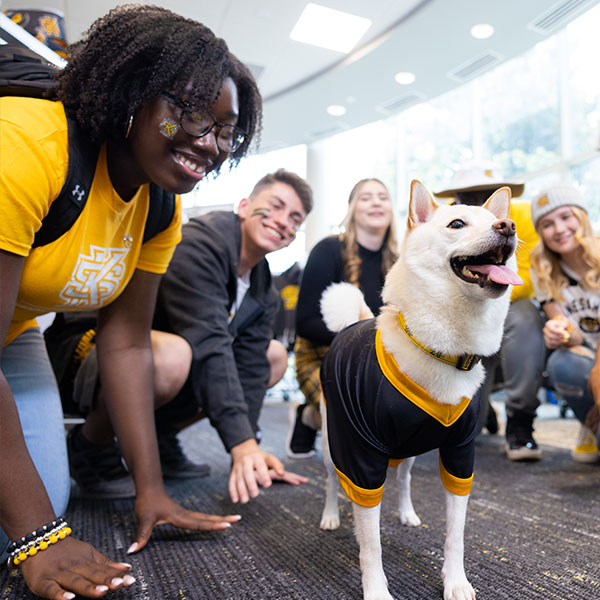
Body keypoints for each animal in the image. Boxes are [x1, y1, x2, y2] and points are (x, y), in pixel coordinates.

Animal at [318, 180, 520, 596]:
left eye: (496, 220)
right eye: (457, 224)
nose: (508, 226)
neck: (444, 351)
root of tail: (353, 323)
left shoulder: (460, 454)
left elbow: (455, 534)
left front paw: (456, 582)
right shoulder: (361, 455)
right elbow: (371, 543)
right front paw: (376, 590)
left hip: (408, 449)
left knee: (405, 477)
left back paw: (407, 512)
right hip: (331, 441)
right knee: (330, 480)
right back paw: (330, 516)